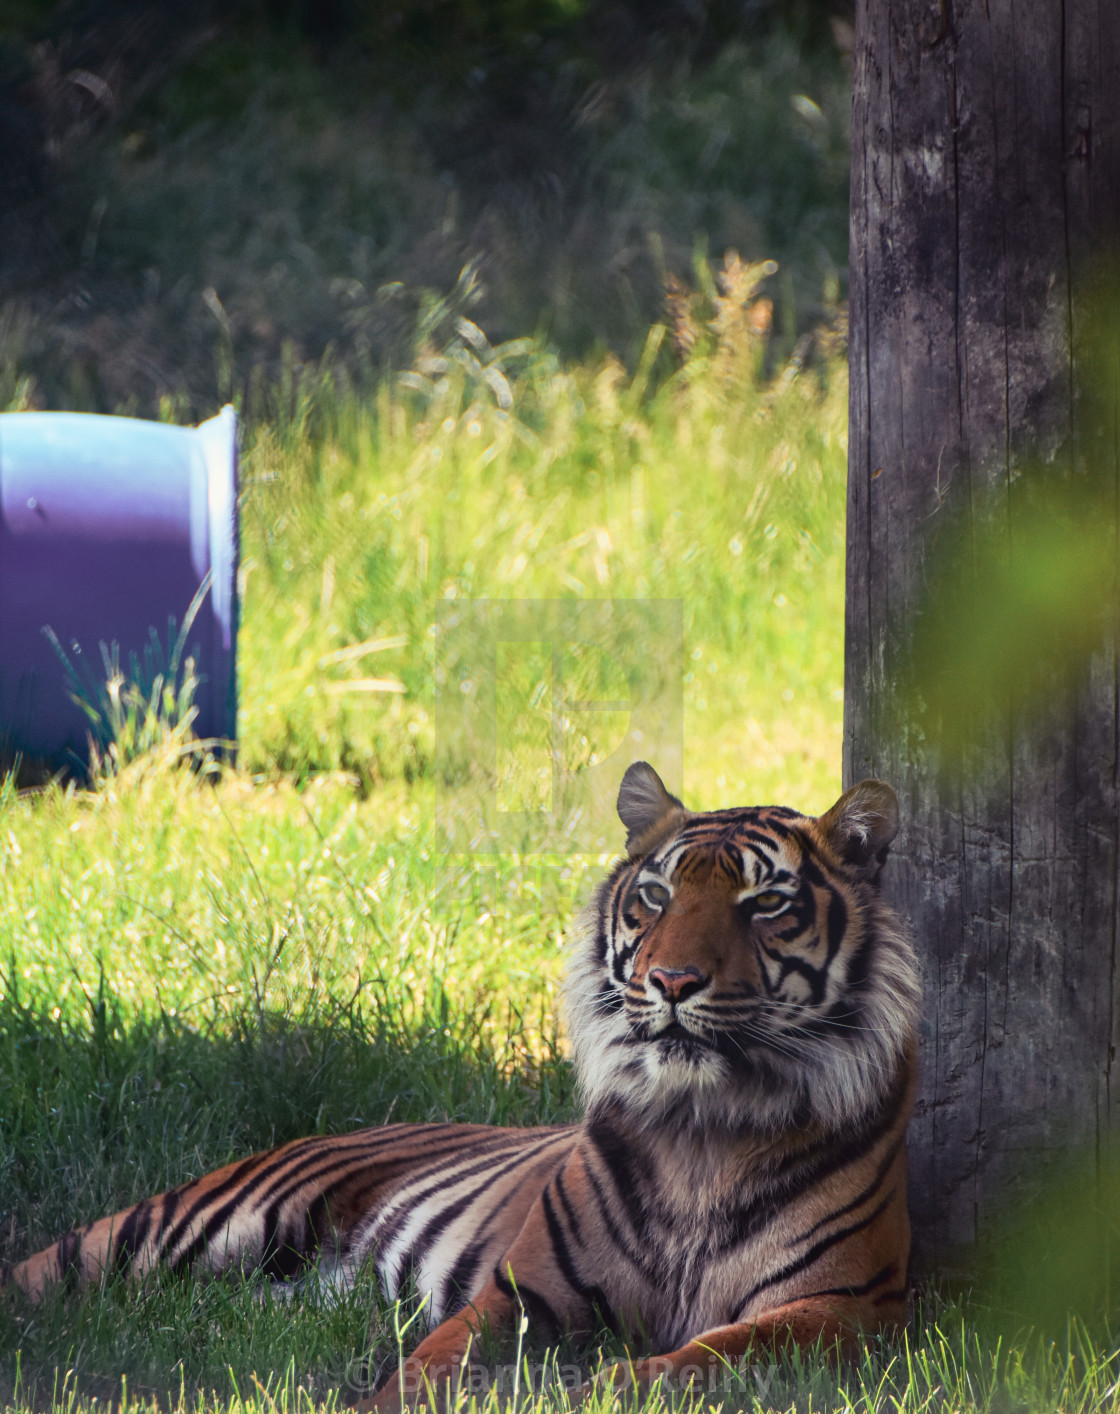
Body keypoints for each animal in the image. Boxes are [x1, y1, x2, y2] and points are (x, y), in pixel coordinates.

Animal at [4, 763, 916, 1402]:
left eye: (766, 905)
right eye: (656, 896)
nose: (671, 980)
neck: (702, 1125)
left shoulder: (839, 1310)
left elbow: (688, 1362)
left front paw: (591, 1391)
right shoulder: (529, 1289)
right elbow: (431, 1359)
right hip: (179, 1226)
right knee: (41, 1271)